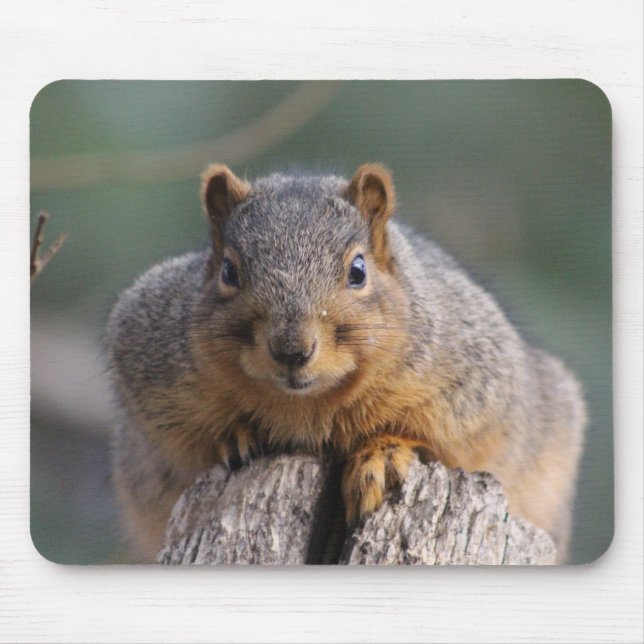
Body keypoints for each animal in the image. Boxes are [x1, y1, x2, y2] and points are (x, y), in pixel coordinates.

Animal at [107, 163, 586, 563]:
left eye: (358, 270)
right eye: (228, 271)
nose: (292, 349)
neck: (308, 405)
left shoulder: (479, 381)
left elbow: (454, 443)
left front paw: (383, 456)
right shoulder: (148, 361)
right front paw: (236, 434)